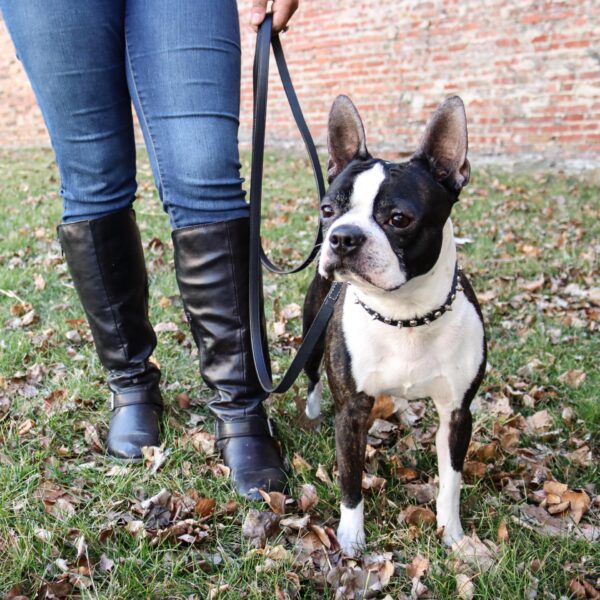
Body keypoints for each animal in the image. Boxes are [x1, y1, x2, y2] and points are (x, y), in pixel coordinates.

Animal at [304, 95, 488, 556]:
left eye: (399, 219)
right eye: (327, 210)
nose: (342, 236)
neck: (404, 313)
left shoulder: (457, 413)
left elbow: (451, 481)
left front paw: (452, 535)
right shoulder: (351, 412)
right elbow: (350, 482)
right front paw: (351, 540)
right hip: (311, 336)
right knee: (311, 377)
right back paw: (312, 412)